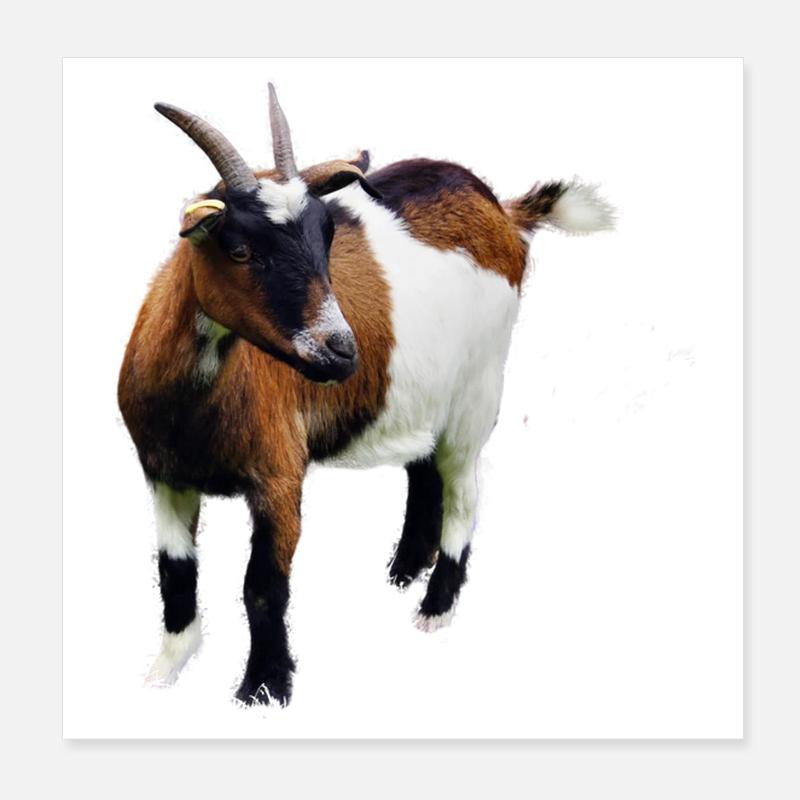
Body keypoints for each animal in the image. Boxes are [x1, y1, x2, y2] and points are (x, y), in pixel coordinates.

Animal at [118, 84, 615, 706]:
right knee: (424, 472)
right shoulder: (165, 476)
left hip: (477, 392)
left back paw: (435, 605)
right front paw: (165, 671)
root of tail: (501, 209)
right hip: (423, 395)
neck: (191, 409)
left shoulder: (280, 474)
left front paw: (263, 689)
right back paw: (404, 570)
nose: (341, 352)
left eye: (326, 234)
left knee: (463, 490)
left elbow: (263, 588)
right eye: (238, 249)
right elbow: (175, 574)